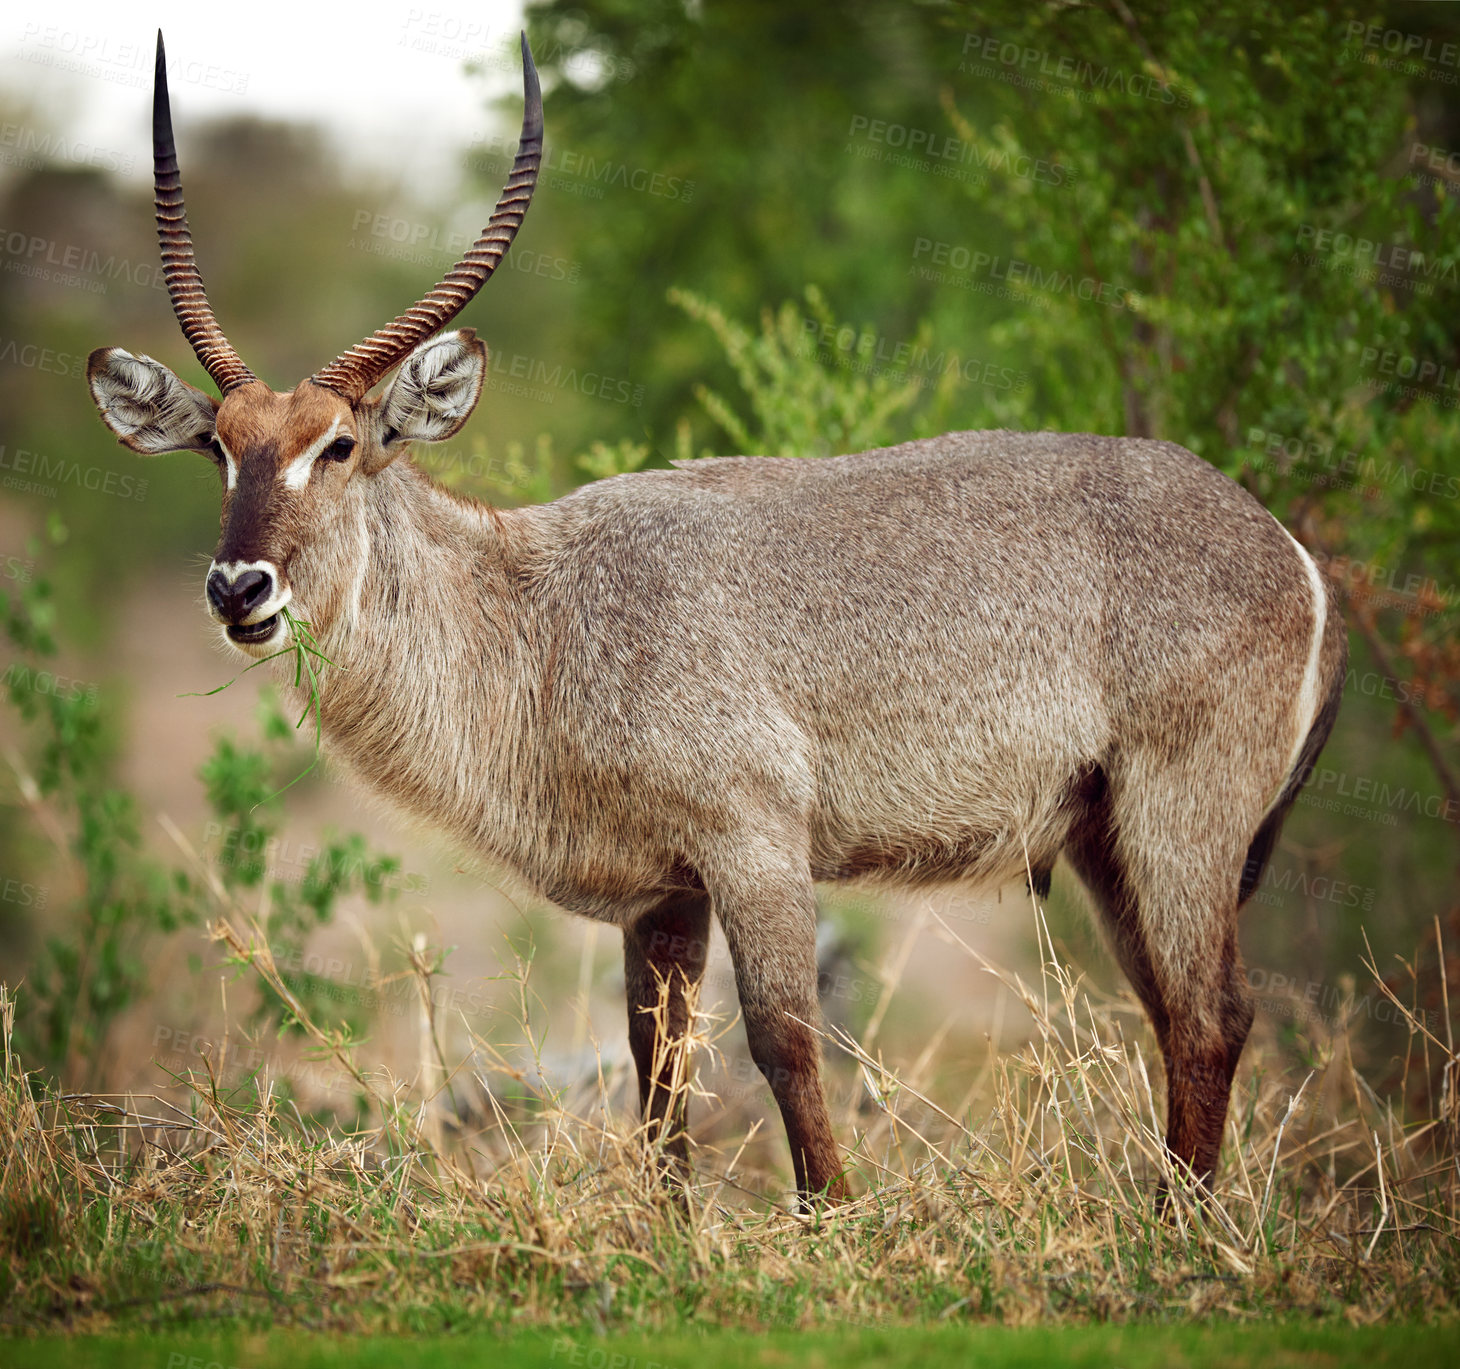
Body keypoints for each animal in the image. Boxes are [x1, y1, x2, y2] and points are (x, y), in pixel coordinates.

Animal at [88, 34, 1343, 1208]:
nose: (238, 588)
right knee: (1178, 1011)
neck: (541, 615)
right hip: (1102, 839)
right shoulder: (664, 889)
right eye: (218, 446)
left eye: (339, 444)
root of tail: (1286, 549)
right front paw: (669, 1236)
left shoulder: (754, 842)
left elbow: (784, 1042)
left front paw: (830, 1224)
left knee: (1210, 1014)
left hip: (1178, 814)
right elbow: (657, 1076)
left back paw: (1178, 1232)